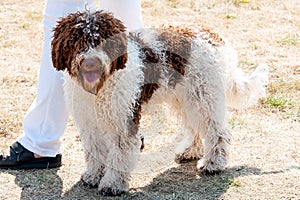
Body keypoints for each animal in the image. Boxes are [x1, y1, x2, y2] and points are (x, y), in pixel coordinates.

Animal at [50, 10, 268, 195]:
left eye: (102, 40)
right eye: (76, 40)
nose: (91, 62)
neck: (100, 86)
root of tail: (211, 35)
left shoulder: (123, 123)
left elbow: (119, 155)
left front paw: (112, 184)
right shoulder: (89, 124)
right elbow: (94, 152)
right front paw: (94, 176)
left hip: (203, 96)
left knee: (218, 131)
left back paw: (213, 164)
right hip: (186, 98)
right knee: (195, 126)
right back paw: (190, 151)